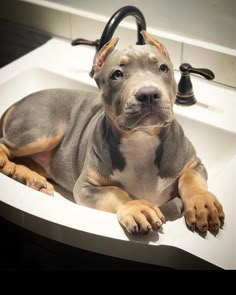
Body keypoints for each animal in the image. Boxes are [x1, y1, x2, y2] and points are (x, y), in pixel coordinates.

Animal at [0, 31, 224, 236]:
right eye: (117, 74)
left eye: (163, 68)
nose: (148, 94)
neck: (141, 139)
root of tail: (17, 102)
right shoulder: (86, 187)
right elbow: (115, 192)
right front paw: (136, 207)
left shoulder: (193, 162)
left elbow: (191, 179)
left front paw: (202, 203)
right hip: (42, 130)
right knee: (5, 144)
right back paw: (9, 165)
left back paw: (29, 176)